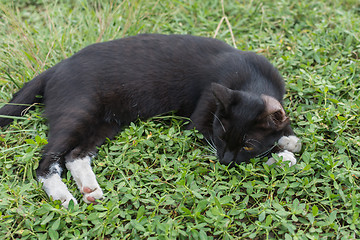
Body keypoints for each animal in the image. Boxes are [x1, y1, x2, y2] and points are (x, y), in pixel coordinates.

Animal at [0, 32, 300, 207]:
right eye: (220, 136)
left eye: (247, 143)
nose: (225, 160)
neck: (251, 77)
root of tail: (54, 69)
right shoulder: (199, 121)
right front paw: (282, 156)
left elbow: (283, 134)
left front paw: (289, 139)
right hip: (79, 110)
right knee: (46, 161)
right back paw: (64, 196)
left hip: (106, 122)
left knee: (75, 154)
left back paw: (90, 188)